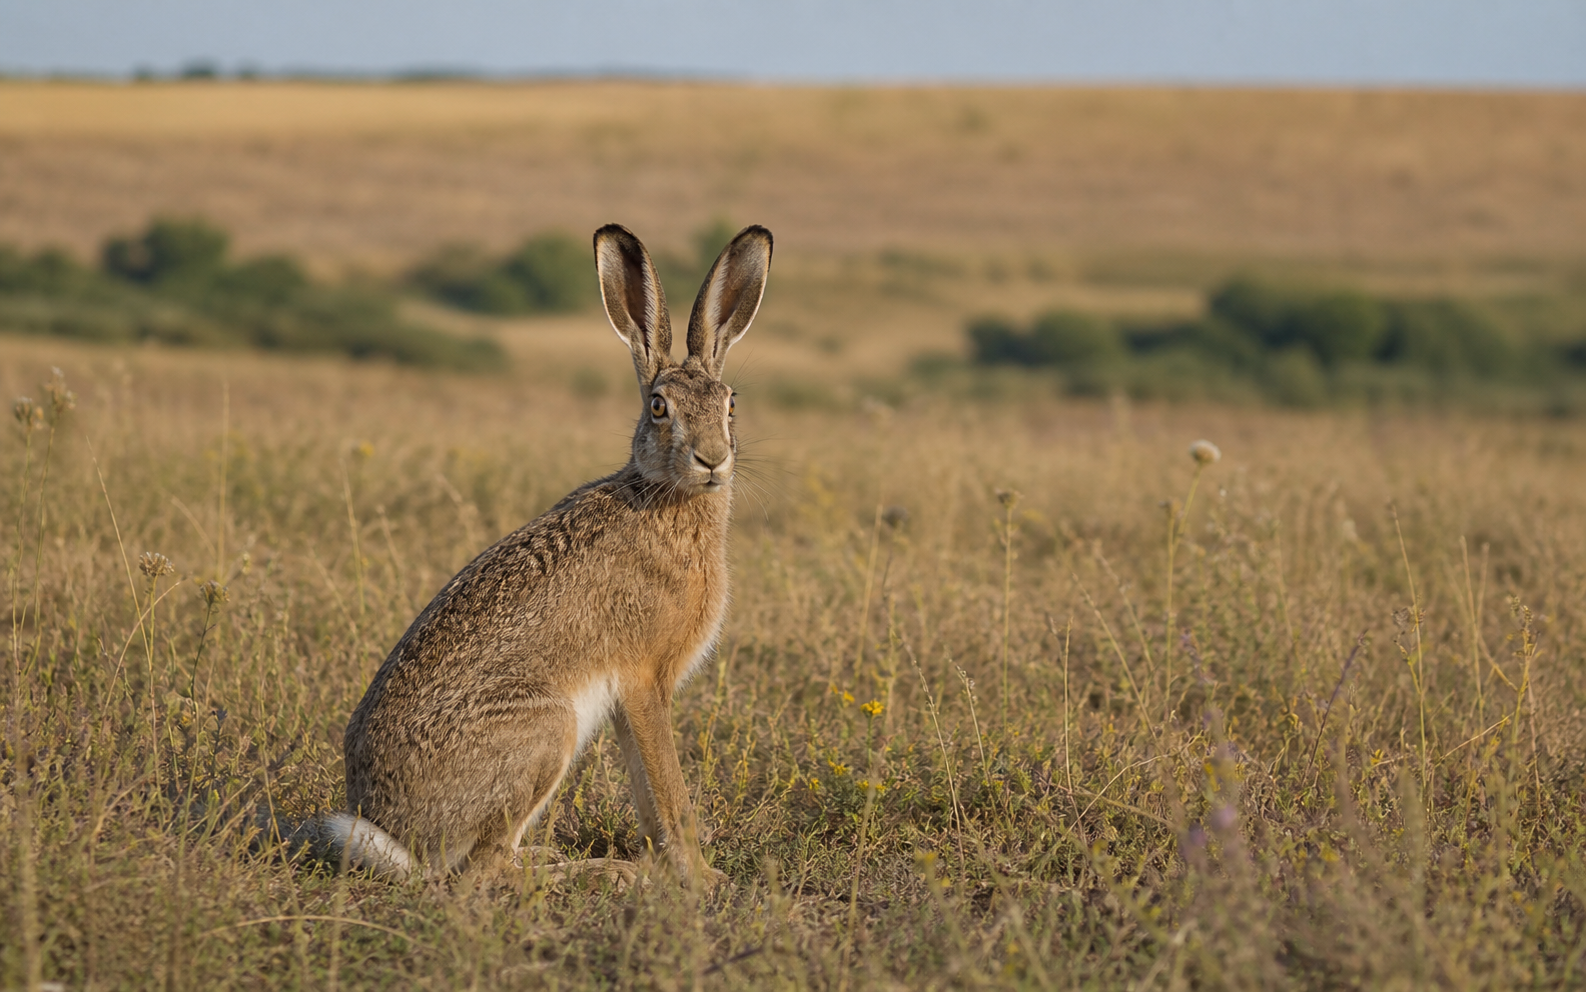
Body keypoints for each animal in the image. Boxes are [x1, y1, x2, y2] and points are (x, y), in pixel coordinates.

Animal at [295, 223, 772, 888]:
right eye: (659, 407)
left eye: (730, 404)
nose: (712, 459)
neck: (666, 496)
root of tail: (395, 832)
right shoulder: (645, 679)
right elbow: (671, 793)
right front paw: (702, 878)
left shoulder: (630, 698)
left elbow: (648, 791)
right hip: (546, 729)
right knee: (481, 873)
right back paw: (598, 873)